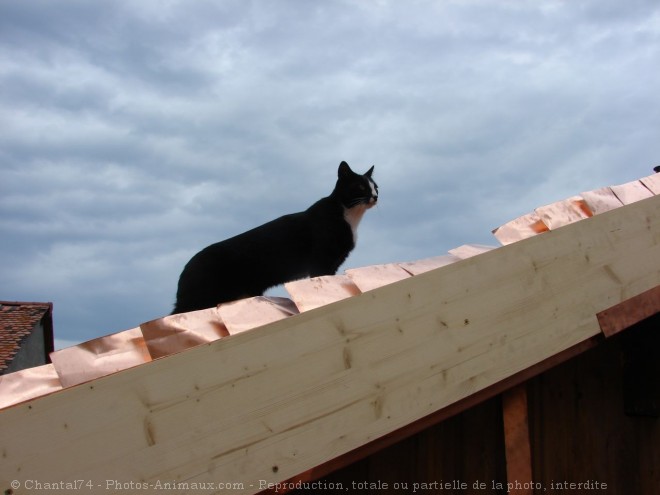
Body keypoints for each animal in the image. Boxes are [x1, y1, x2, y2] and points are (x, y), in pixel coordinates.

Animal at [171, 162, 376, 314]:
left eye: (376, 187)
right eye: (360, 186)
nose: (375, 196)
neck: (349, 216)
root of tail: (186, 269)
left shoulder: (333, 263)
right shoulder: (321, 261)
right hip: (201, 297)